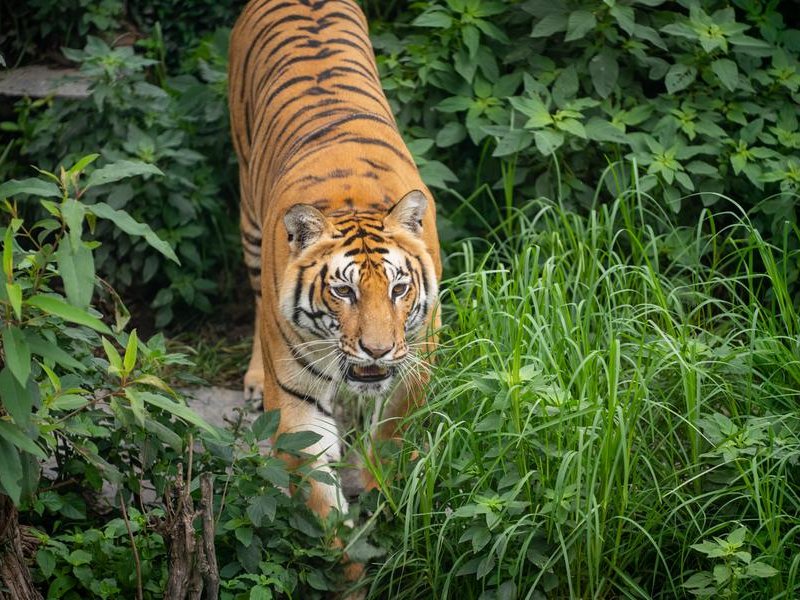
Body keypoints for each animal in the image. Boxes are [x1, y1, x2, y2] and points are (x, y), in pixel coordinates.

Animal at [228, 0, 442, 527]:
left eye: (399, 289)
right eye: (343, 291)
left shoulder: (417, 360)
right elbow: (318, 490)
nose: (377, 351)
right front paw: (344, 544)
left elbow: (391, 435)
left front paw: (378, 491)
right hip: (248, 219)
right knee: (256, 296)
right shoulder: (297, 393)